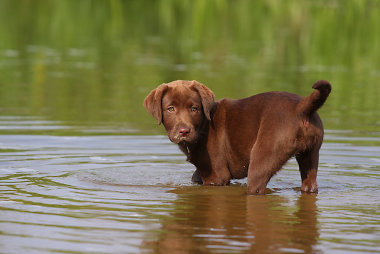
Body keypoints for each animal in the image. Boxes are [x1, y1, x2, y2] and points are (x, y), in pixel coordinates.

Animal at [144, 80, 332, 193]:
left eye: (194, 108)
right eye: (170, 109)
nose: (184, 131)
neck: (203, 125)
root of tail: (301, 107)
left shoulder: (217, 176)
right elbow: (195, 176)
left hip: (263, 159)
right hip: (311, 154)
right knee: (310, 184)